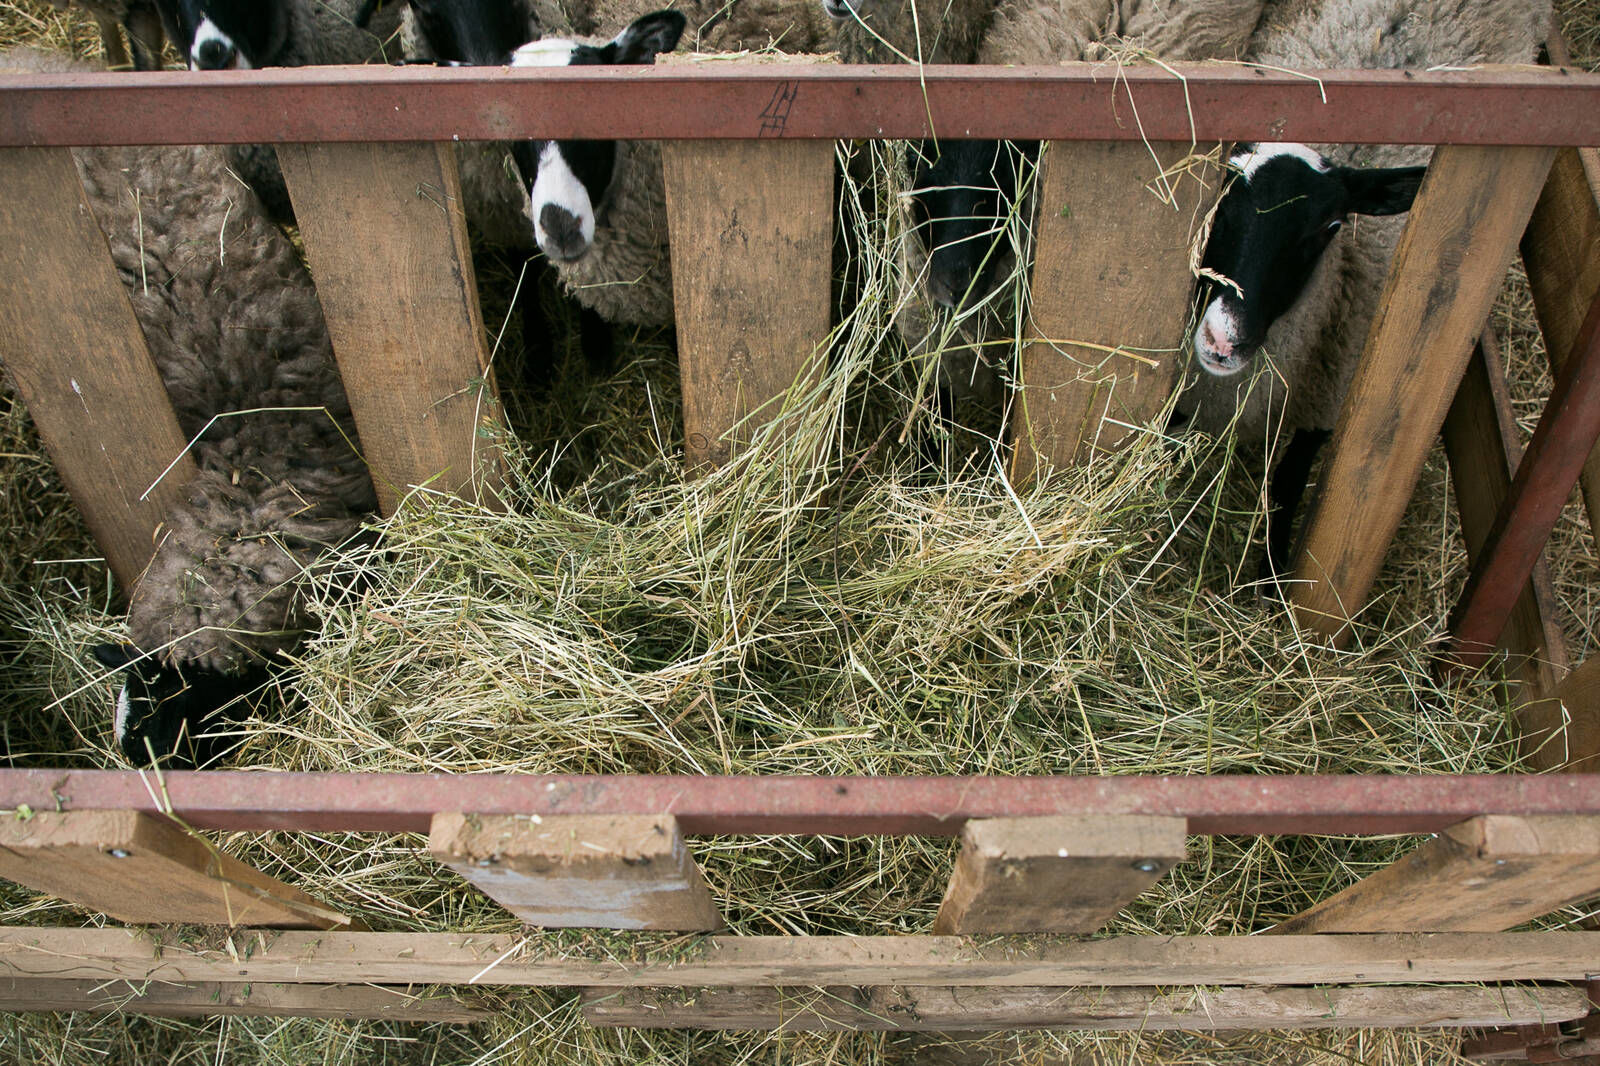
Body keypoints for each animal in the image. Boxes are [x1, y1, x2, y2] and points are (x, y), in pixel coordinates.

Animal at [1177, 0, 1548, 576]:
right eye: (1216, 202)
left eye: (1329, 227)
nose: (1224, 340)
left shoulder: (1329, 398)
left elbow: (1289, 482)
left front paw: (1274, 575)